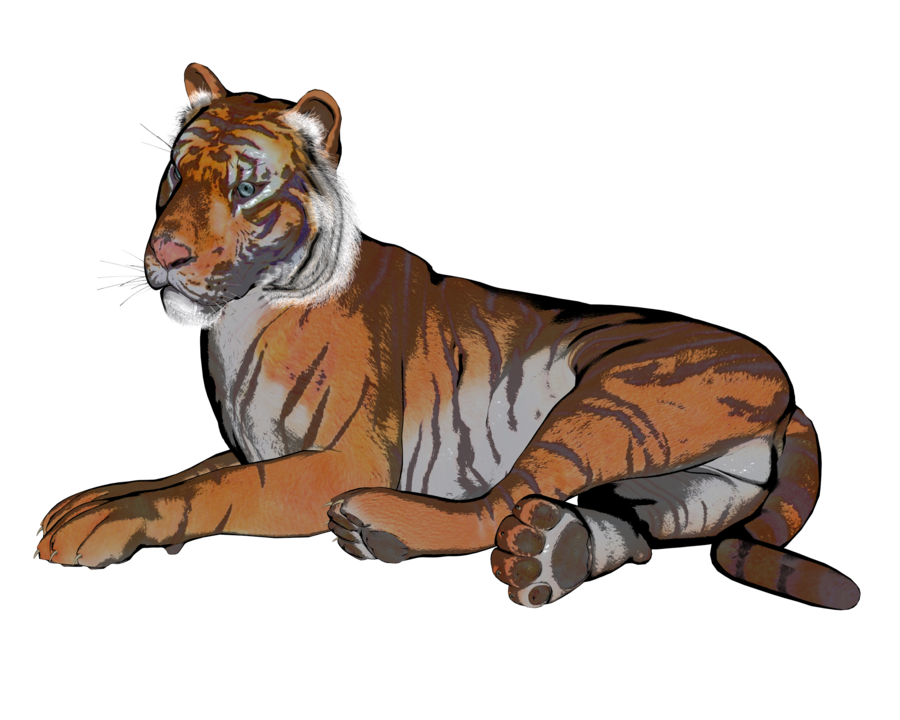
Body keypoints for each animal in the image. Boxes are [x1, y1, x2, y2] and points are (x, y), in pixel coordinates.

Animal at [33, 62, 861, 610]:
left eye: (246, 188)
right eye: (175, 173)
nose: (163, 253)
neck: (241, 321)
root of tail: (788, 391)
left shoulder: (343, 458)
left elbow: (219, 489)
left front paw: (99, 527)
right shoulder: (253, 446)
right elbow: (181, 474)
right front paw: (85, 504)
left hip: (608, 403)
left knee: (502, 504)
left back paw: (379, 524)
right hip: (682, 489)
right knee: (625, 534)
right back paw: (545, 556)